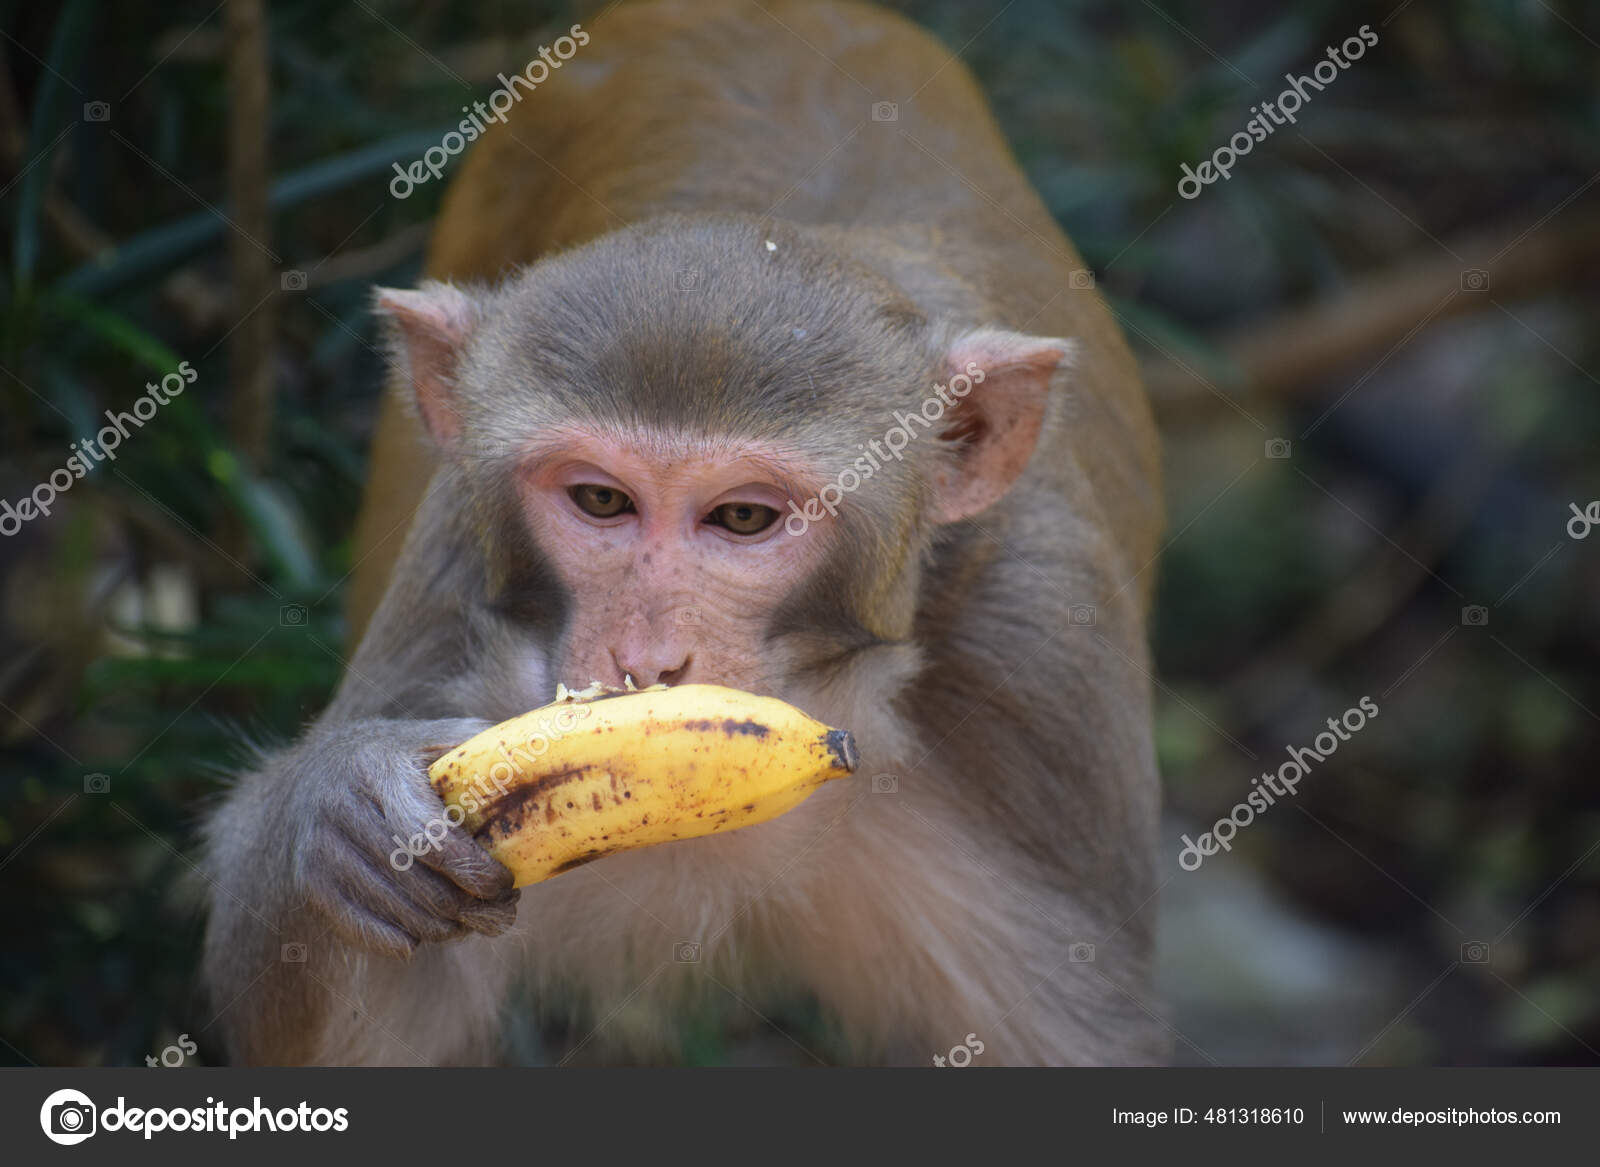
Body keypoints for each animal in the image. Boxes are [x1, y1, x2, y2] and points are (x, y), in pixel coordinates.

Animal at [203, 0, 1164, 1062]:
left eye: (743, 516)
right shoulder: (452, 571)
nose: (649, 663)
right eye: (600, 502)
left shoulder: (1038, 647)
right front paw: (343, 810)